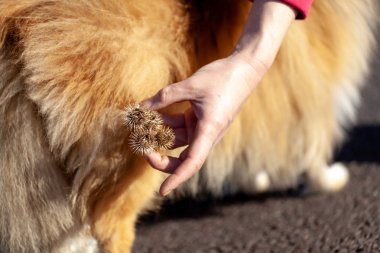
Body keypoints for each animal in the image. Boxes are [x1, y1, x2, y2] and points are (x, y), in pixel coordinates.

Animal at [0, 0, 378, 252]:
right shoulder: (313, 77)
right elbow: (314, 139)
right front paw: (327, 178)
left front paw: (250, 179)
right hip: (131, 171)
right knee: (107, 227)